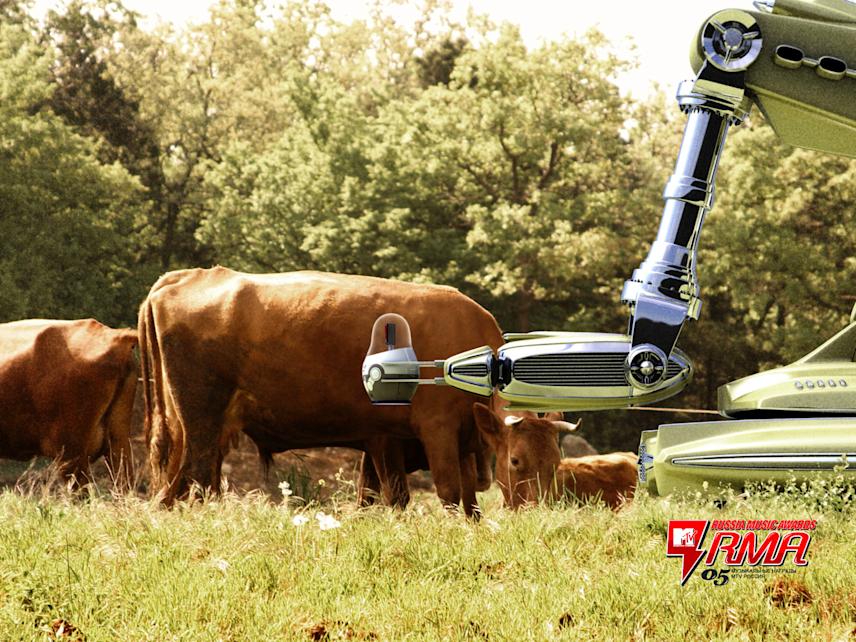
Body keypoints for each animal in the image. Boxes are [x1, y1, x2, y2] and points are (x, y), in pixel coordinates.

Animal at [139, 267, 506, 515]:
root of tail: (185, 276)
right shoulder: (430, 430)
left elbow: (464, 499)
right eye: (516, 460)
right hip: (200, 424)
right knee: (193, 481)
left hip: (197, 429)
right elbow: (445, 491)